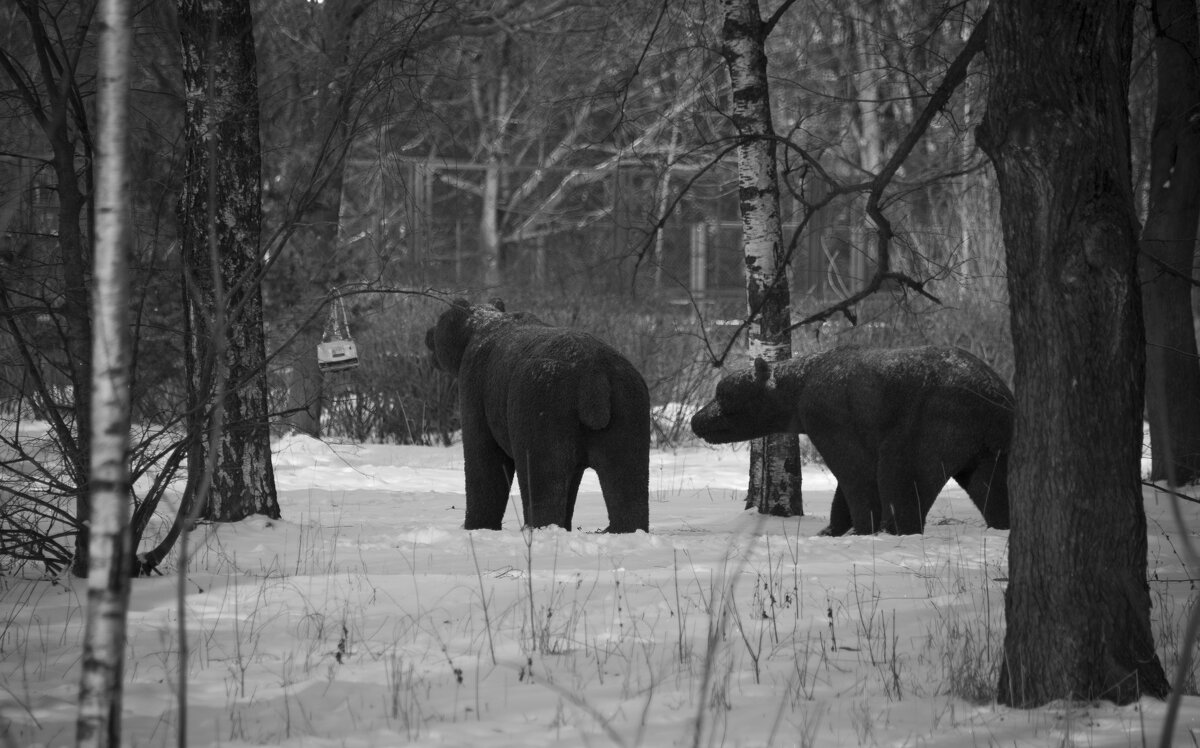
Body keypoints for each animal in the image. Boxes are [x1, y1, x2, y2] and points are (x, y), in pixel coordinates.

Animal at [427, 296, 652, 533]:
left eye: (439, 321)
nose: (427, 335)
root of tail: (593, 377)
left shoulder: (475, 385)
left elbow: (483, 457)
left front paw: (476, 525)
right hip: (627, 405)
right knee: (626, 472)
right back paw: (624, 528)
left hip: (541, 403)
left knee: (542, 471)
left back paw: (538, 527)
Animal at [686, 348, 1012, 535]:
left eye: (723, 393)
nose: (696, 419)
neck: (798, 387)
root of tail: (993, 392)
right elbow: (846, 482)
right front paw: (832, 528)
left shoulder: (829, 414)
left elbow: (856, 472)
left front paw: (861, 527)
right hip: (992, 437)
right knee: (992, 484)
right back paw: (1002, 523)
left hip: (935, 416)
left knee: (902, 473)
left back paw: (896, 529)